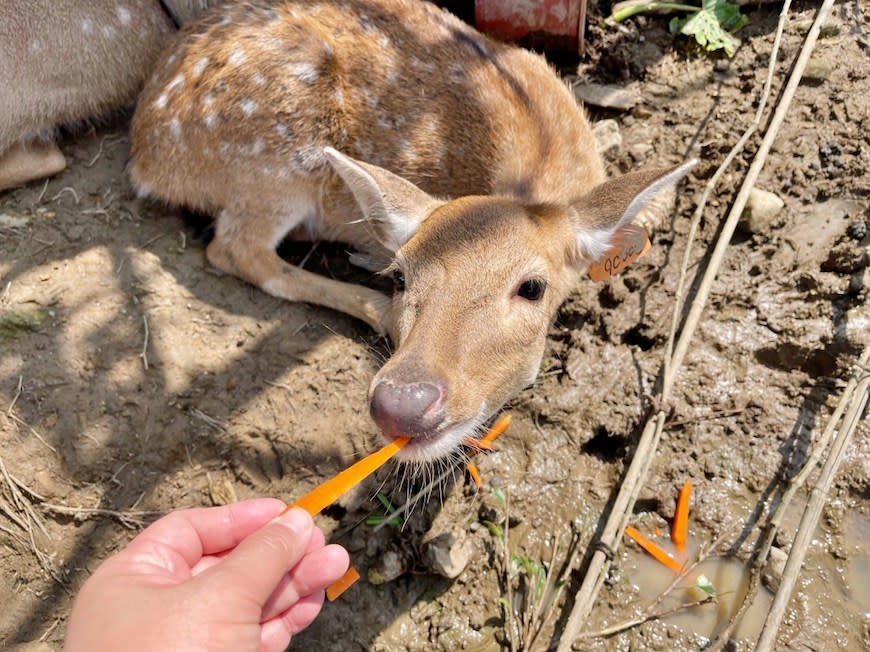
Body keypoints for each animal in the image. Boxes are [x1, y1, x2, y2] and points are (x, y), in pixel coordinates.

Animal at [127, 0, 696, 460]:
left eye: (533, 288)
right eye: (401, 277)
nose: (402, 404)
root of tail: (146, 155)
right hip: (273, 159)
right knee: (236, 250)